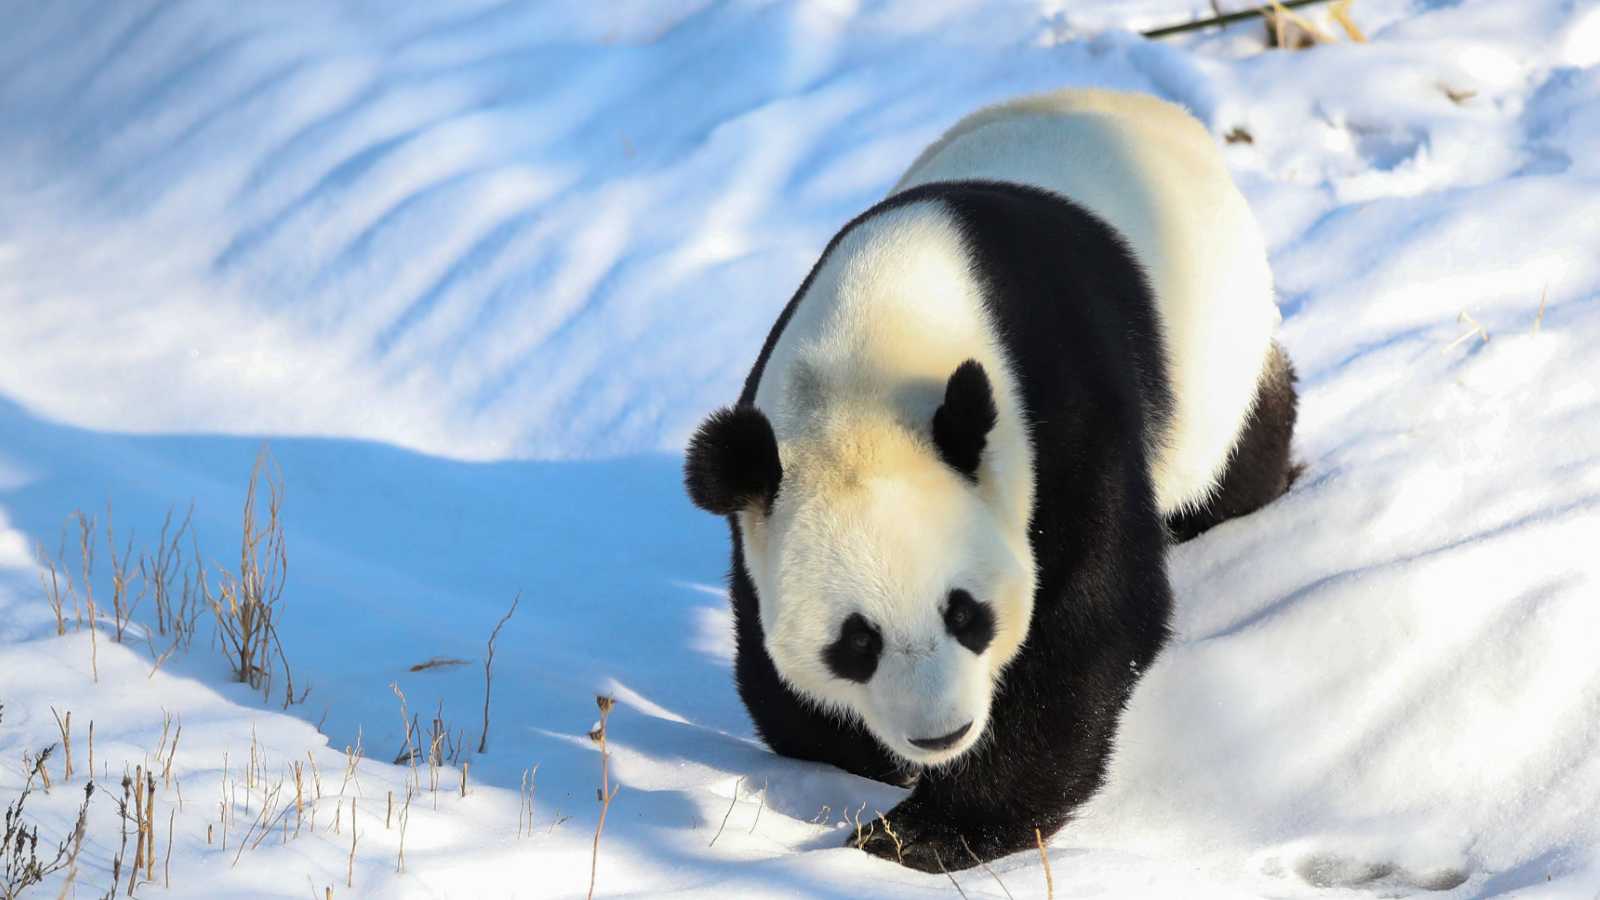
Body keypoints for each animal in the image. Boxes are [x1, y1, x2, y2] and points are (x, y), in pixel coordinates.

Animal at [681, 87, 1292, 864]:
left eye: (965, 612)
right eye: (857, 641)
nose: (940, 733)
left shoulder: (1058, 411)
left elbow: (1094, 615)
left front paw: (927, 833)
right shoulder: (760, 489)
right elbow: (772, 670)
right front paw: (873, 762)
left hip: (1214, 353)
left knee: (1240, 456)